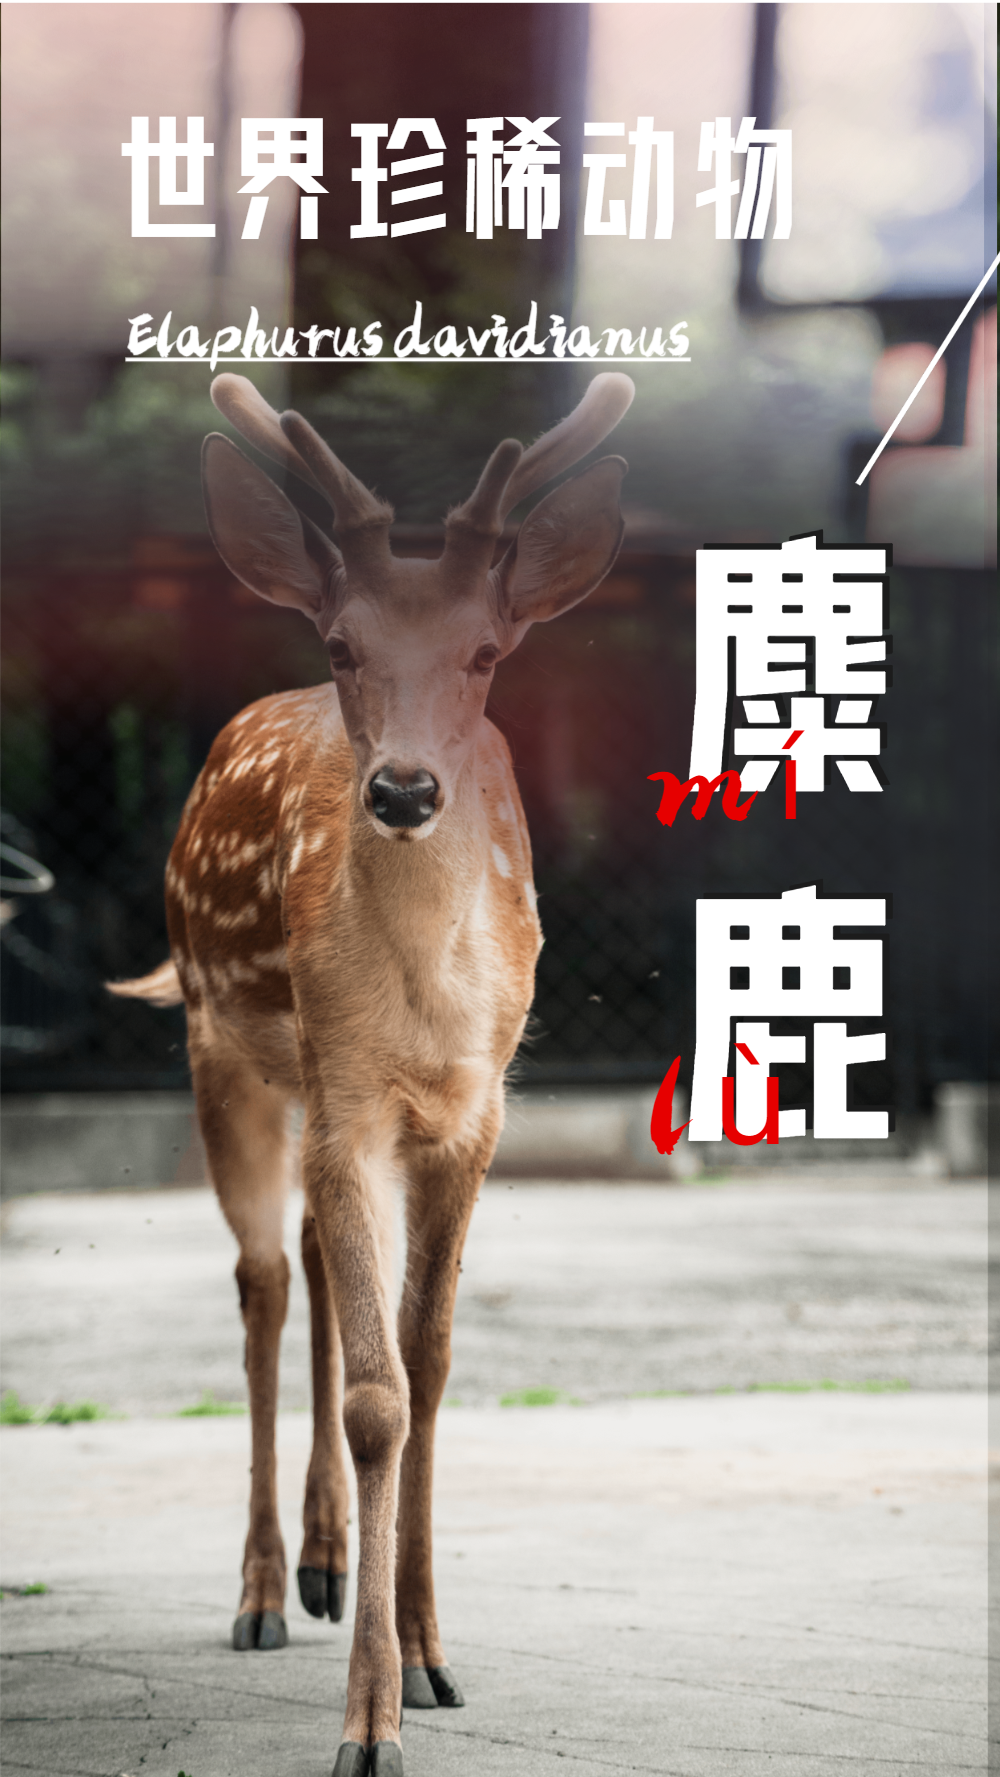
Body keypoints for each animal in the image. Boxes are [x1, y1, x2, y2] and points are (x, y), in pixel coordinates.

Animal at [109, 367, 634, 1777]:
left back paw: (336, 1567)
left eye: (485, 653)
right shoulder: (346, 1101)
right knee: (263, 1283)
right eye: (345, 645)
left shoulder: (469, 1112)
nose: (401, 788)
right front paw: (368, 1723)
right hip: (226, 1052)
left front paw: (432, 1653)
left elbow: (429, 1362)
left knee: (319, 1281)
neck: (419, 1004)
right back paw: (260, 1589)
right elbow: (374, 1395)